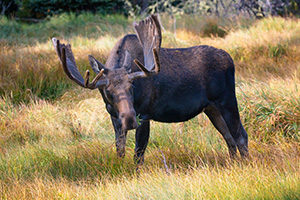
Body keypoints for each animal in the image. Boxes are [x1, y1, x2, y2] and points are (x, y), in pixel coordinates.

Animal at [52, 14, 248, 164]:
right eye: (108, 92)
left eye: (132, 86)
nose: (130, 119)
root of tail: (231, 60)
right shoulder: (113, 117)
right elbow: (120, 150)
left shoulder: (145, 114)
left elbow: (138, 155)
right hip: (211, 108)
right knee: (229, 137)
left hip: (227, 100)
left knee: (240, 135)